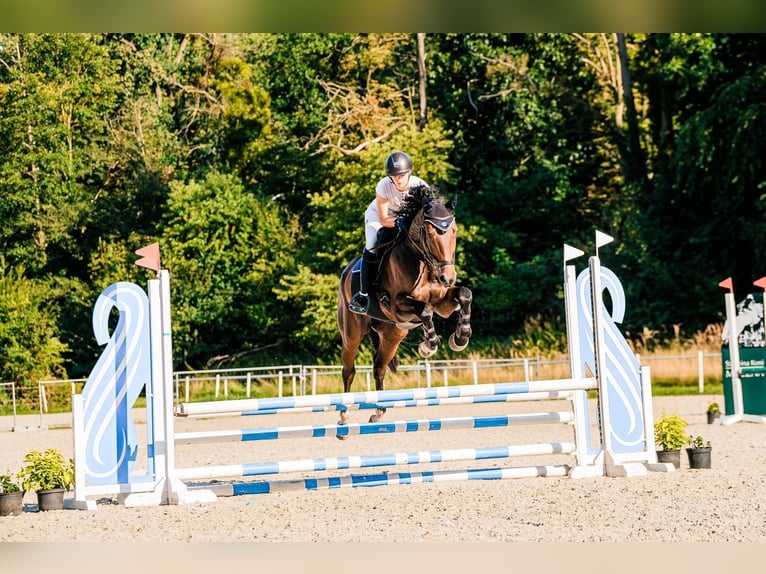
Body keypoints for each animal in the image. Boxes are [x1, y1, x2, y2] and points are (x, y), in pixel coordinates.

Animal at [338, 186, 474, 432]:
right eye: (429, 233)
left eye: (454, 231)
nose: (448, 277)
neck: (422, 261)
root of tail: (346, 272)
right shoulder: (397, 304)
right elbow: (425, 311)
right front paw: (428, 346)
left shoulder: (442, 302)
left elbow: (464, 294)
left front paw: (460, 338)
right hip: (351, 333)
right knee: (349, 370)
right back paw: (344, 417)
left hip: (393, 334)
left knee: (379, 367)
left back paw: (379, 412)